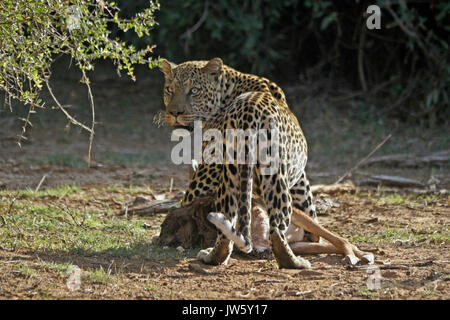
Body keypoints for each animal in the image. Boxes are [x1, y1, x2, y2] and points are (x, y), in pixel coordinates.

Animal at [161, 57, 320, 268]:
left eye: (194, 90)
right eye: (169, 89)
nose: (174, 112)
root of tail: (248, 110)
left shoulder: (205, 174)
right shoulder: (297, 175)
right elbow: (307, 202)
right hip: (264, 174)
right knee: (272, 224)